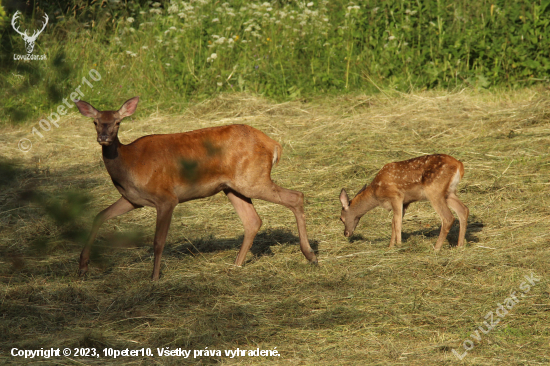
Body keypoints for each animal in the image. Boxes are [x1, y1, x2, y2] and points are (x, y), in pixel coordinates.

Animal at [75, 97, 316, 280]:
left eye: (117, 122)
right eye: (95, 122)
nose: (103, 137)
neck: (130, 164)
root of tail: (274, 145)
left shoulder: (166, 197)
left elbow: (158, 241)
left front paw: (154, 278)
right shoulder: (133, 200)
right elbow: (99, 215)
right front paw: (83, 266)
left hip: (252, 179)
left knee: (296, 196)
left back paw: (310, 254)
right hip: (233, 187)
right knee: (253, 220)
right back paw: (236, 265)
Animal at [340, 153, 470, 250]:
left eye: (341, 218)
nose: (346, 233)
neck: (375, 192)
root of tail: (459, 165)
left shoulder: (396, 196)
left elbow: (397, 222)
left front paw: (398, 245)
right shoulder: (406, 203)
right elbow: (394, 222)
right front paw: (390, 246)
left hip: (434, 190)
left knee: (448, 217)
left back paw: (436, 248)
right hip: (449, 193)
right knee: (463, 209)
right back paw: (459, 246)